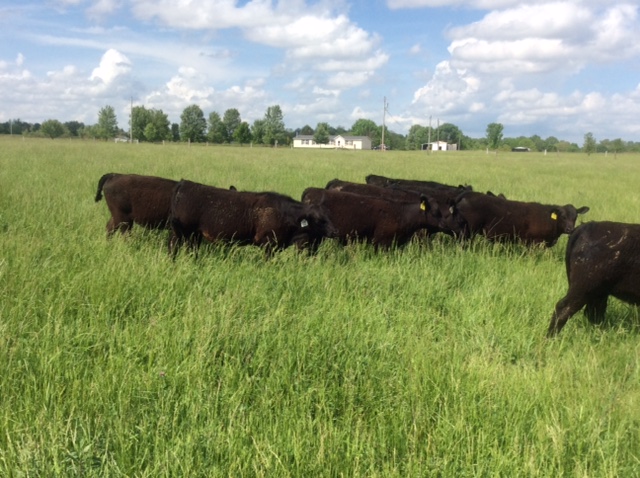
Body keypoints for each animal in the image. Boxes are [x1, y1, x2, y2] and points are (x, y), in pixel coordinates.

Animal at [168, 179, 332, 256]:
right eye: (319, 220)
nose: (334, 231)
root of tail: (184, 184)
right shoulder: (269, 244)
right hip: (185, 233)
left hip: (189, 234)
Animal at [448, 190, 588, 246]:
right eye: (563, 217)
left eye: (575, 217)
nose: (570, 229)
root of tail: (467, 194)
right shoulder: (534, 242)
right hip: (467, 231)